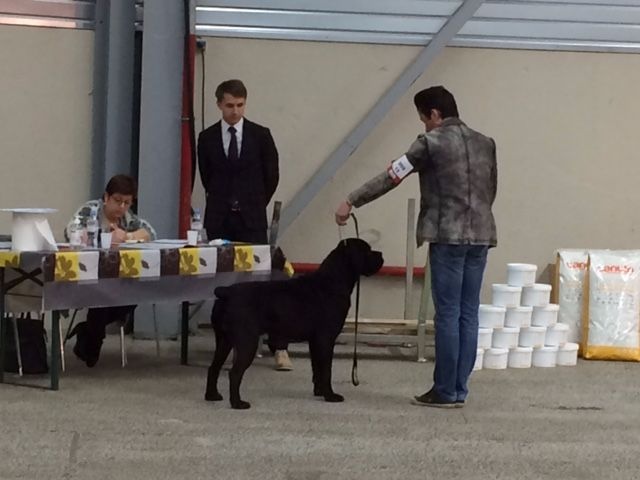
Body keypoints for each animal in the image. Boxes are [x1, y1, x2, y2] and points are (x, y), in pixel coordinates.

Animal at [205, 238, 384, 410]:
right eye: (367, 250)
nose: (381, 254)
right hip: (246, 342)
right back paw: (237, 403)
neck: (332, 281)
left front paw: (319, 392)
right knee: (234, 374)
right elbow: (326, 370)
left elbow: (317, 369)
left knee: (213, 368)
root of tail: (226, 291)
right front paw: (330, 396)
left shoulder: (315, 342)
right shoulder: (326, 339)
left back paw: (212, 396)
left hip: (224, 341)